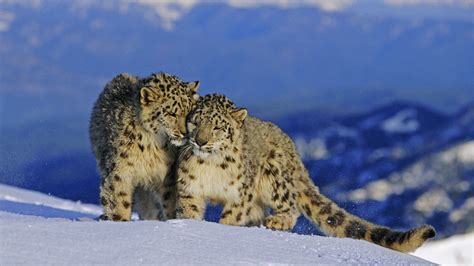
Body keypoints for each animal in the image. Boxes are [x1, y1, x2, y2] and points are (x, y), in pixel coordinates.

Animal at [90, 71, 199, 221]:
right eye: (171, 113)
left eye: (190, 112)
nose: (186, 133)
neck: (153, 145)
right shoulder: (119, 171)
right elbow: (119, 201)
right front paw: (120, 220)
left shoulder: (166, 175)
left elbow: (169, 202)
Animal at [176, 94, 436, 252]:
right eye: (195, 122)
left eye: (218, 127)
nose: (200, 141)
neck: (211, 166)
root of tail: (293, 149)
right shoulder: (189, 188)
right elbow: (189, 211)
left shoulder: (240, 195)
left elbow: (232, 217)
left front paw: (225, 229)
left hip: (275, 177)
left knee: (290, 206)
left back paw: (277, 221)